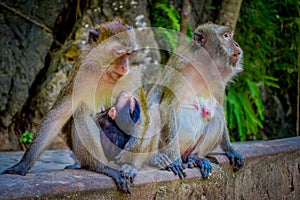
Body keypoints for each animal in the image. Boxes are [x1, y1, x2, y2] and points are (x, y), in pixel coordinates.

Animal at [2, 18, 137, 194]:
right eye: (118, 53)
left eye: (128, 54)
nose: (124, 67)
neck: (103, 72)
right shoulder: (79, 74)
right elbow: (57, 117)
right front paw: (23, 164)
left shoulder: (129, 78)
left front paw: (131, 166)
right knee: (81, 114)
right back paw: (100, 167)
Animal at [146, 23, 245, 180]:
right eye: (226, 36)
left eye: (230, 35)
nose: (236, 44)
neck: (204, 67)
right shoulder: (180, 65)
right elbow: (167, 106)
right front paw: (174, 161)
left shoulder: (219, 81)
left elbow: (219, 108)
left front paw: (230, 149)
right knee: (155, 108)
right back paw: (155, 158)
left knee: (217, 112)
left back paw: (195, 158)